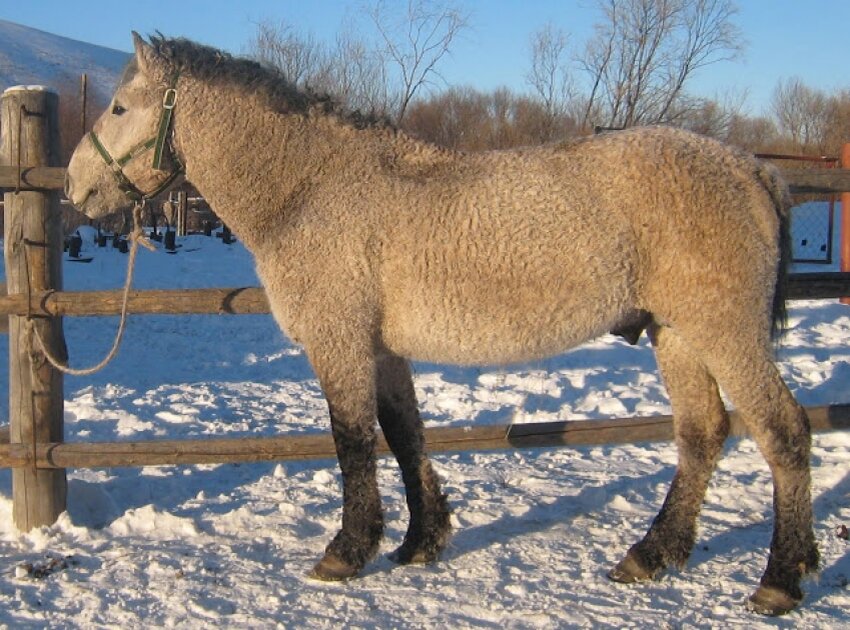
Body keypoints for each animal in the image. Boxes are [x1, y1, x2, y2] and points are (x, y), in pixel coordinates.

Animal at [63, 34, 820, 616]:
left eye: (120, 106)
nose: (73, 186)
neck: (312, 188)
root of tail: (752, 170)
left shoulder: (340, 345)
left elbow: (353, 443)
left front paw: (347, 551)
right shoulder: (383, 351)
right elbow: (404, 436)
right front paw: (420, 541)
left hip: (725, 333)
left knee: (782, 433)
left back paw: (779, 581)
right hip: (679, 336)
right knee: (702, 435)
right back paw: (653, 554)